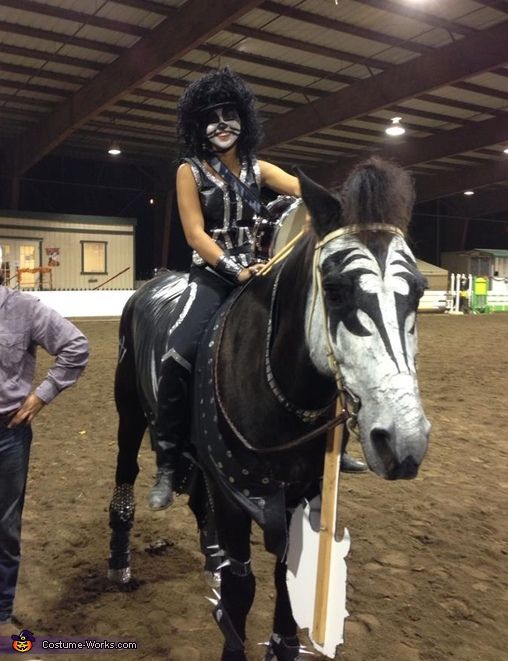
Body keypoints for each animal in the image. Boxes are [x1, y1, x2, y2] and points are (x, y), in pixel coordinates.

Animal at [108, 157, 428, 656]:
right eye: (334, 290)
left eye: (419, 290)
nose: (403, 441)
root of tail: (150, 284)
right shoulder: (231, 492)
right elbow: (242, 587)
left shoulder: (304, 494)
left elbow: (288, 579)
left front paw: (281, 641)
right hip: (129, 412)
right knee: (128, 474)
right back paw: (122, 561)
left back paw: (210, 555)